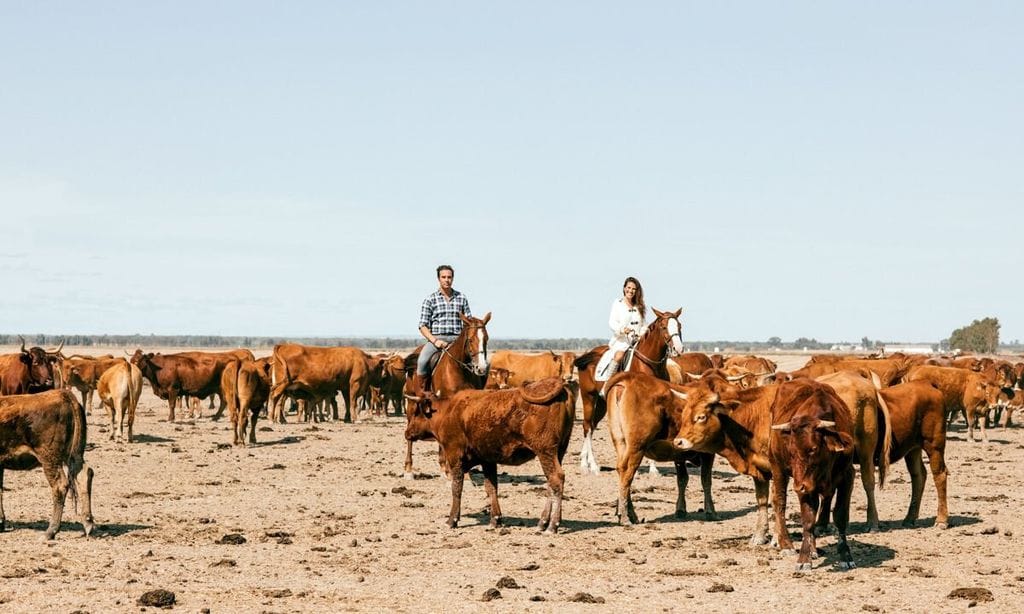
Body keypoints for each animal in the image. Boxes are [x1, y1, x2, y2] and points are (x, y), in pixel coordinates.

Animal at [0, 388, 95, 536]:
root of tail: (64, 395)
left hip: (49, 458)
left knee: (59, 485)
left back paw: (51, 531)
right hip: (74, 454)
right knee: (84, 475)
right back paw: (88, 523)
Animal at [401, 311, 489, 478]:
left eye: (486, 339)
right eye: (470, 339)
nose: (481, 368)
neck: (458, 370)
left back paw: (442, 466)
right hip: (412, 404)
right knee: (409, 433)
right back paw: (408, 469)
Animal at [401, 376, 577, 536]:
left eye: (416, 412)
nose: (407, 433)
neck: (449, 411)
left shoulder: (454, 456)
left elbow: (456, 488)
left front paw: (452, 520)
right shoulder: (488, 460)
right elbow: (491, 487)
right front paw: (495, 519)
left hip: (545, 451)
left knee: (556, 479)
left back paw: (552, 525)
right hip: (558, 451)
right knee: (551, 483)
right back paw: (543, 522)